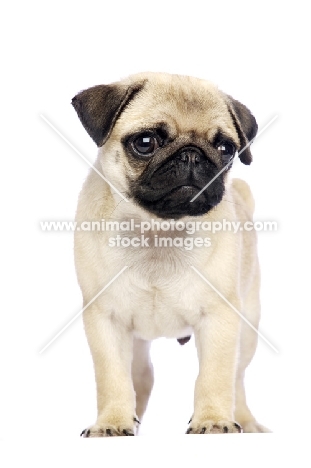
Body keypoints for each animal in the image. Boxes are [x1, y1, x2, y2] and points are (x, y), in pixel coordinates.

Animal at [72, 71, 270, 436]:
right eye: (145, 142)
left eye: (226, 149)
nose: (192, 155)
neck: (159, 231)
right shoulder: (105, 319)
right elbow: (112, 378)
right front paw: (112, 422)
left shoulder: (220, 318)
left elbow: (215, 377)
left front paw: (213, 420)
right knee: (140, 379)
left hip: (248, 326)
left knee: (237, 379)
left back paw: (245, 421)